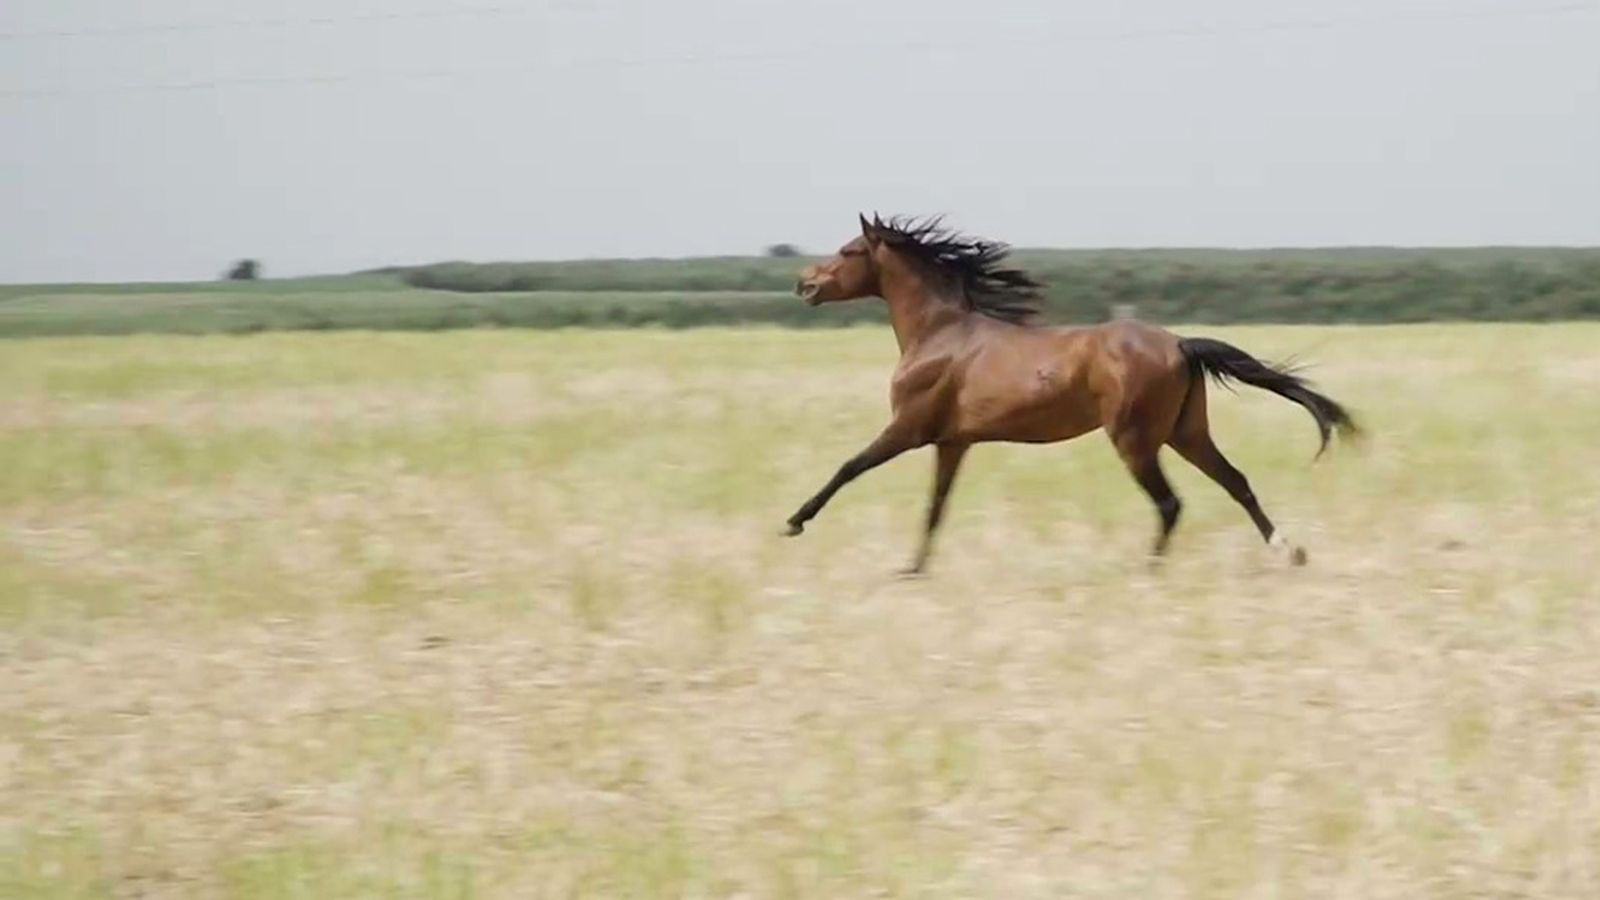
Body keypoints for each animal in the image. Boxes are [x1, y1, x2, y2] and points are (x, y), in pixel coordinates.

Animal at [783, 214, 1360, 574]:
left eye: (849, 250)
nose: (804, 283)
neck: (939, 333)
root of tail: (1178, 342)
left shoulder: (908, 429)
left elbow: (849, 467)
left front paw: (794, 521)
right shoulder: (953, 443)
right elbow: (935, 507)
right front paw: (912, 568)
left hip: (1135, 440)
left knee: (1170, 503)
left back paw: (1147, 570)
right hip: (1185, 432)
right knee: (1236, 483)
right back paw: (1289, 551)